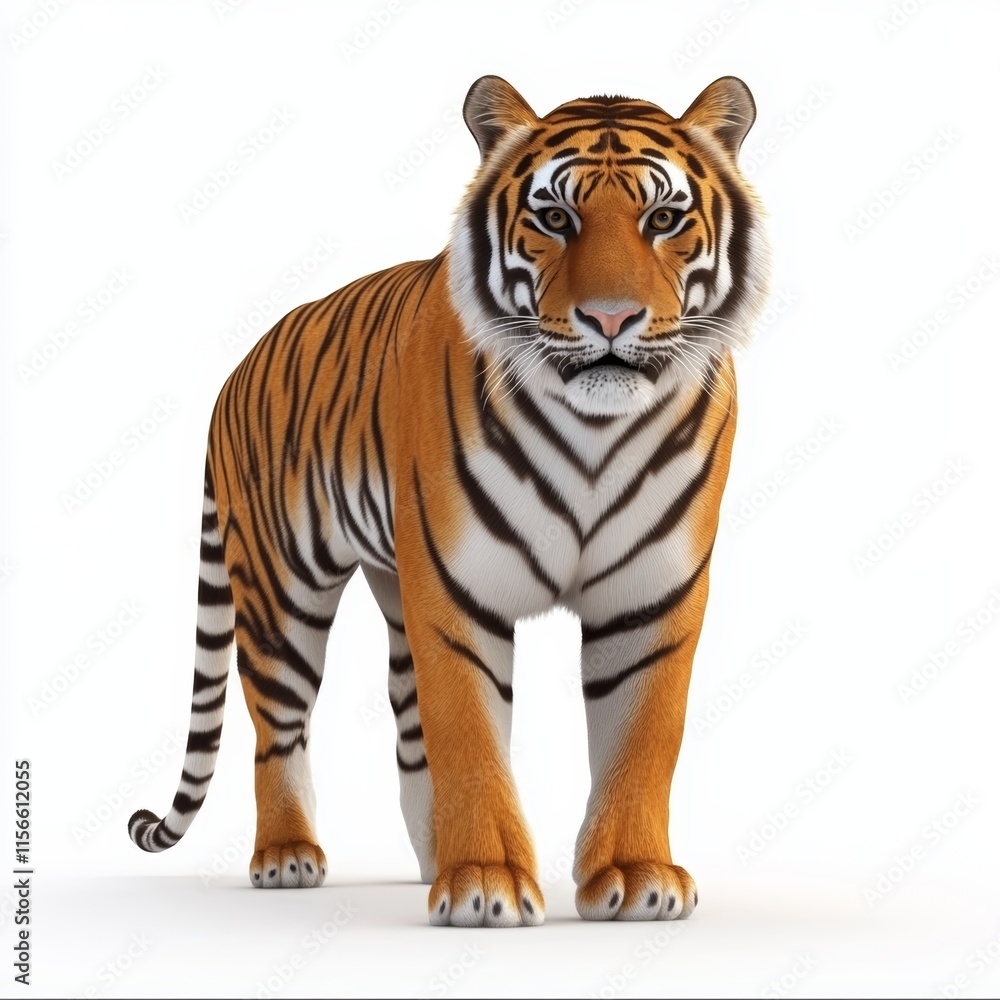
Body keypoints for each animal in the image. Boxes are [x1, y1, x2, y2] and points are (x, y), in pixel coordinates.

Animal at [128, 74, 770, 927]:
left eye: (663, 219)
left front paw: (636, 878)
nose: (610, 318)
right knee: (278, 726)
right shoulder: (456, 595)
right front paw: (485, 884)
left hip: (395, 590)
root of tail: (236, 369)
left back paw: (430, 854)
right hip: (280, 586)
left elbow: (643, 739)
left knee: (405, 729)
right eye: (555, 218)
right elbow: (469, 737)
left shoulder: (652, 597)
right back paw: (288, 856)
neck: (595, 429)